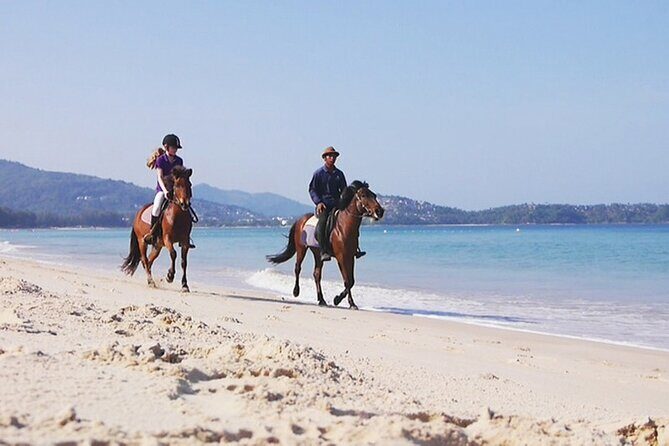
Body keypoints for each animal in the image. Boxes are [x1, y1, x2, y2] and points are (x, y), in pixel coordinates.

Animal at [267, 181, 384, 309]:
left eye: (374, 195)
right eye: (363, 195)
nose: (380, 211)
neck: (344, 227)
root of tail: (300, 220)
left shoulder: (350, 257)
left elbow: (351, 280)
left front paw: (345, 301)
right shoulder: (341, 257)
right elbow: (347, 281)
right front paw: (341, 300)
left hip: (318, 253)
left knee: (317, 274)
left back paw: (321, 299)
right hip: (301, 249)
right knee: (298, 268)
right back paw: (296, 291)